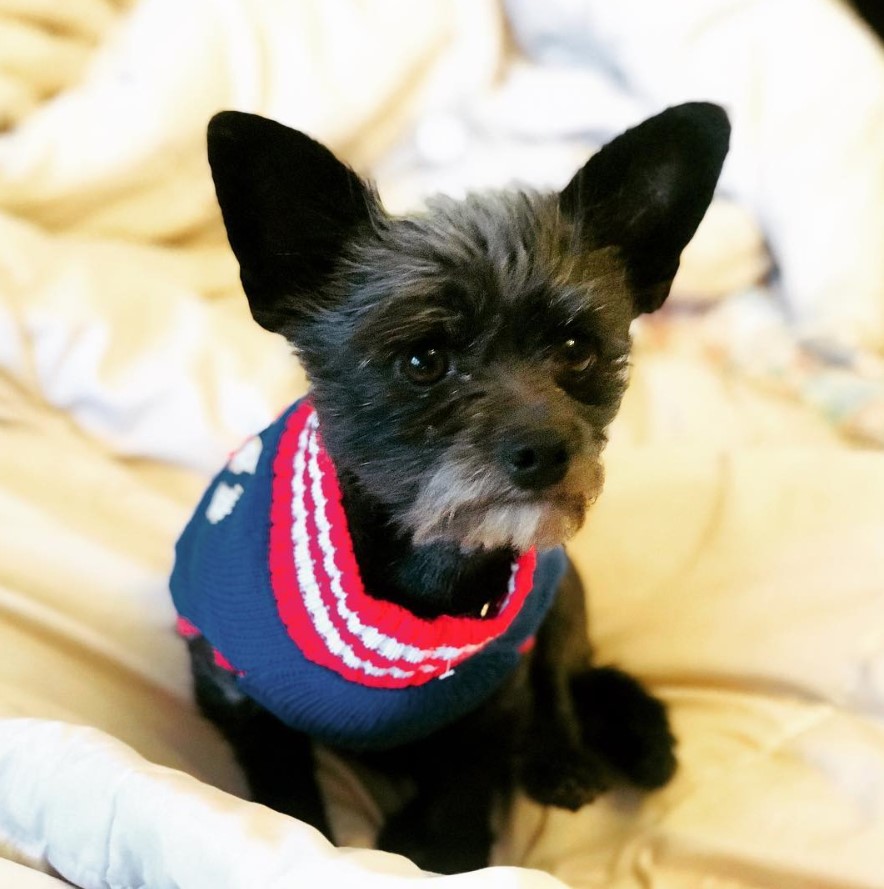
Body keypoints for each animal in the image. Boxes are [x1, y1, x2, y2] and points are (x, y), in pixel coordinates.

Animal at [169, 104, 728, 876]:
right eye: (423, 360)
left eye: (577, 348)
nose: (546, 452)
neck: (429, 573)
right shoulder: (234, 691)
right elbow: (282, 797)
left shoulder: (494, 701)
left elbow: (466, 790)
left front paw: (439, 845)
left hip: (564, 595)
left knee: (562, 684)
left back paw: (560, 761)